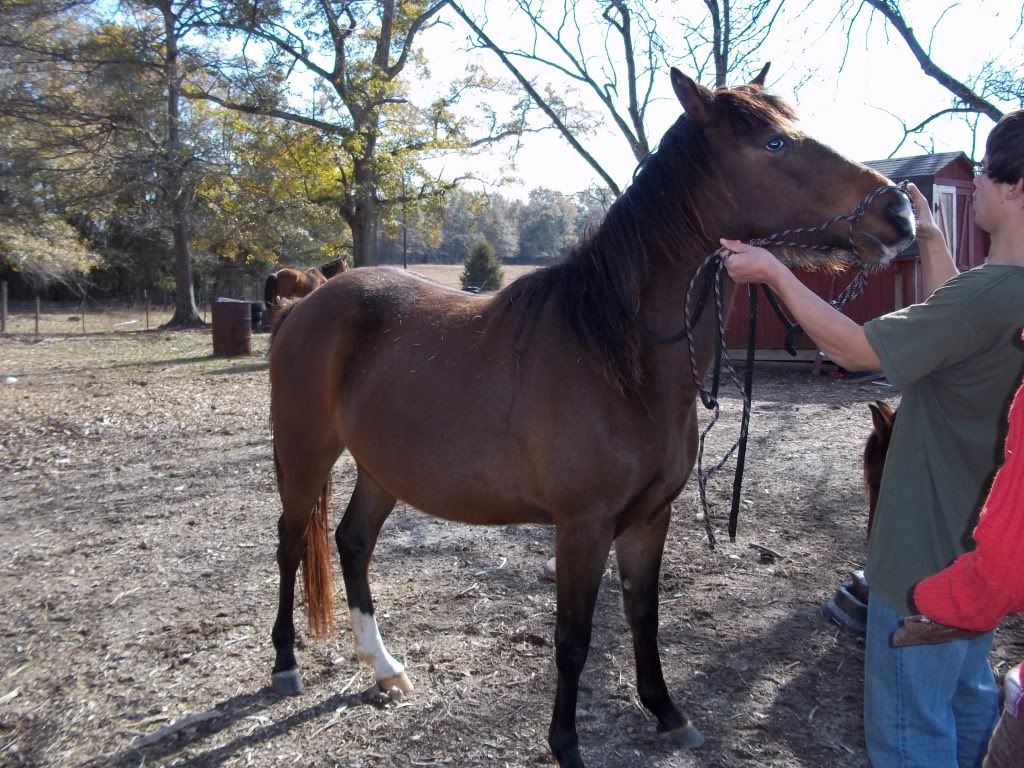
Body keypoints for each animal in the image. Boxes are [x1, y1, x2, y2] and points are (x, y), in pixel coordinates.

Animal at [268, 67, 917, 768]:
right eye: (774, 143)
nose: (900, 213)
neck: (618, 354)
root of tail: (308, 303)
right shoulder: (582, 526)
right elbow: (573, 636)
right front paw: (566, 743)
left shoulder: (649, 519)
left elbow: (643, 616)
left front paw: (666, 712)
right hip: (303, 455)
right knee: (289, 544)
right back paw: (284, 664)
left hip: (383, 469)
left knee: (353, 544)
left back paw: (385, 668)